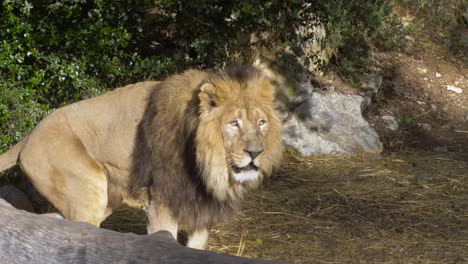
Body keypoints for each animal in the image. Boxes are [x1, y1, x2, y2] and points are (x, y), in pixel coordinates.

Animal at [0, 64, 282, 250]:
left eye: (261, 123)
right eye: (234, 123)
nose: (255, 153)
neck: (209, 165)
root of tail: (29, 135)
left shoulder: (203, 207)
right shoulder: (162, 199)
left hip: (107, 196)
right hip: (87, 190)